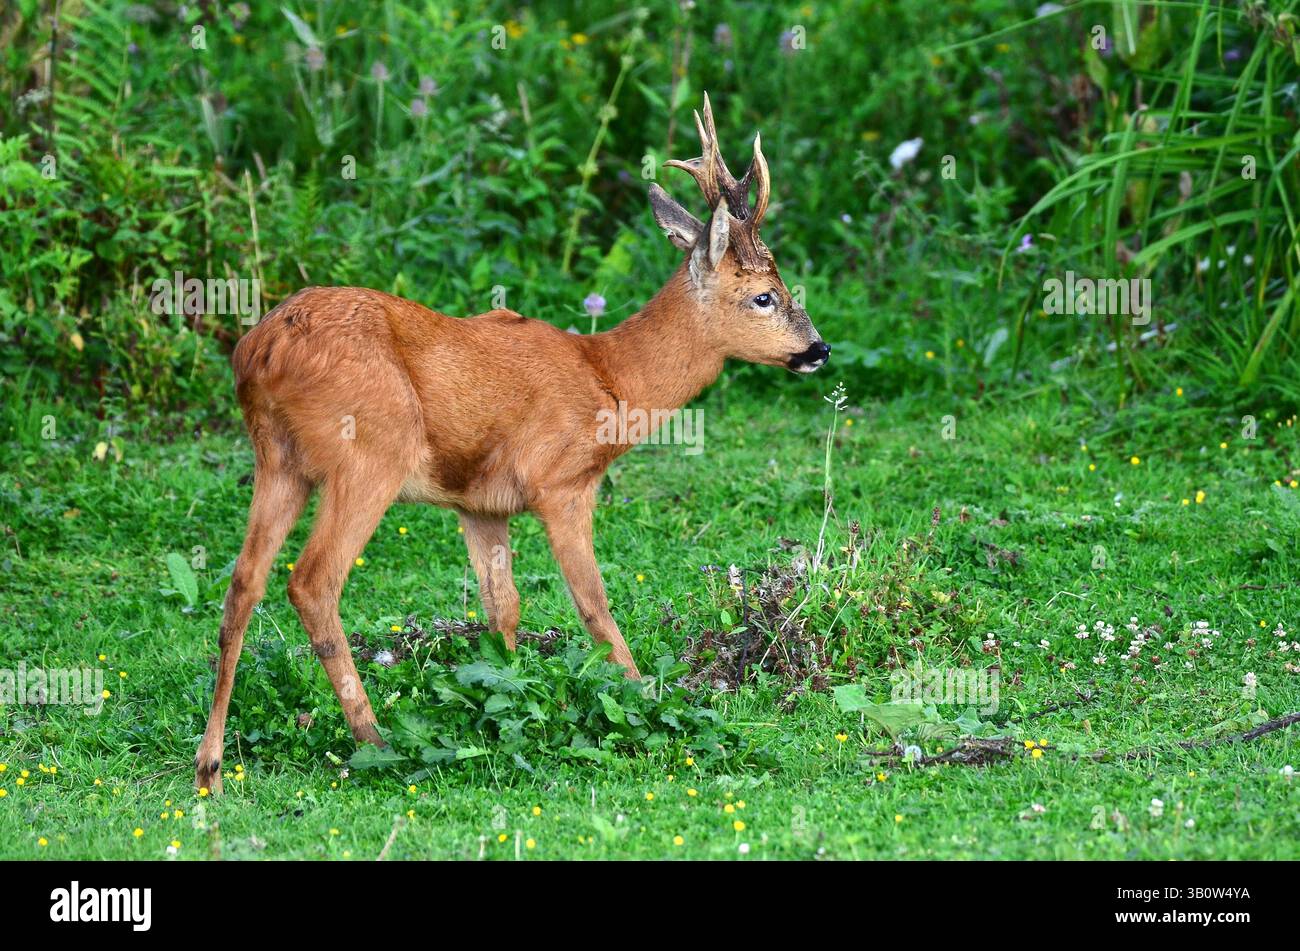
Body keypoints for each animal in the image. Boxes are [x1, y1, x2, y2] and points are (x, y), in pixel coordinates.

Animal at [194, 94, 829, 793]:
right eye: (764, 296)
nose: (819, 349)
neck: (610, 378)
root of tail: (257, 351)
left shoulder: (480, 504)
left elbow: (504, 608)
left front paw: (505, 691)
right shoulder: (562, 484)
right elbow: (593, 604)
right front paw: (640, 697)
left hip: (278, 459)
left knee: (243, 582)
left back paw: (211, 765)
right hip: (369, 455)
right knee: (311, 582)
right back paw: (374, 740)